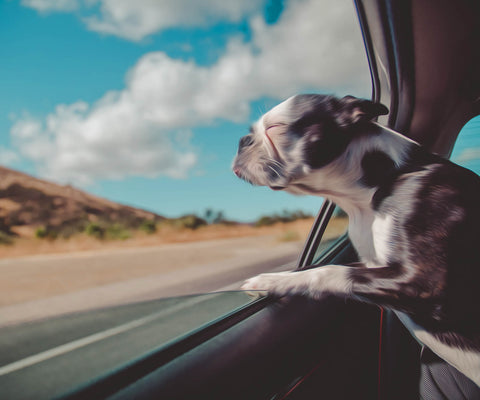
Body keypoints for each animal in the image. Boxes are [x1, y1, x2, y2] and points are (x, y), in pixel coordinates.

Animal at [232, 93, 480, 384]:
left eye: (275, 128)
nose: (243, 140)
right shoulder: (373, 265)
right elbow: (317, 267)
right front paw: (276, 279)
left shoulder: (424, 282)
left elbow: (327, 272)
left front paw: (270, 280)